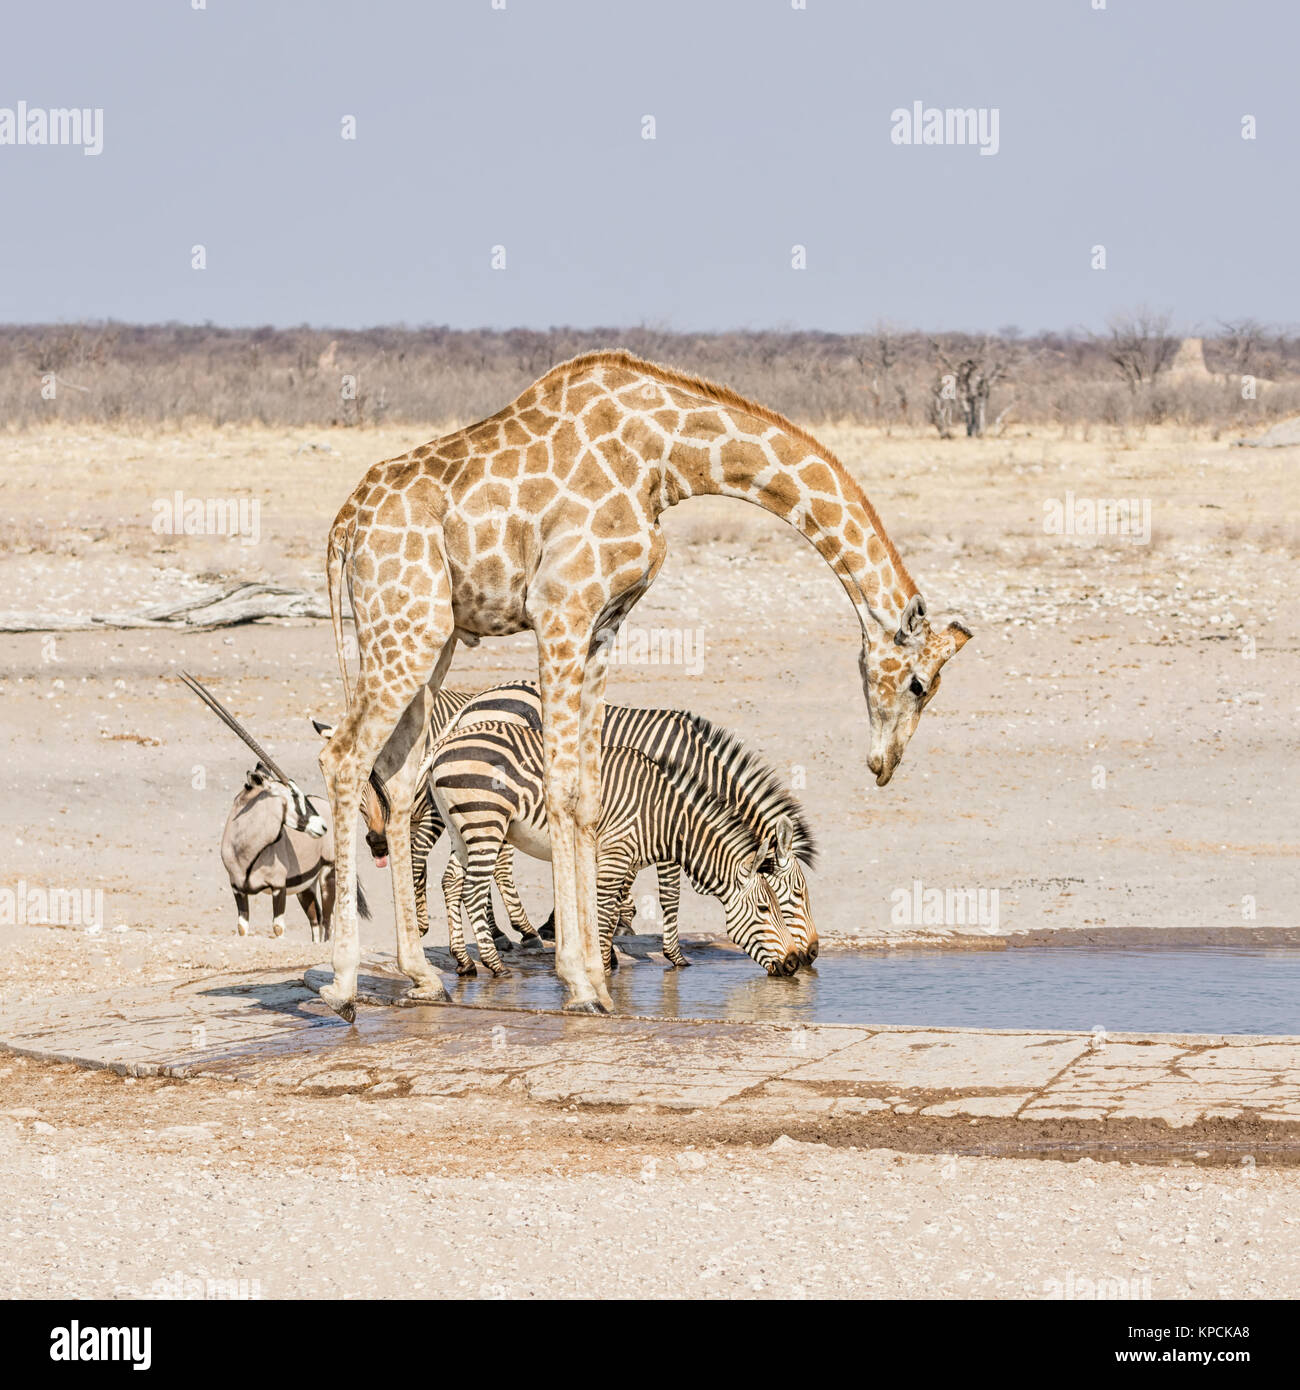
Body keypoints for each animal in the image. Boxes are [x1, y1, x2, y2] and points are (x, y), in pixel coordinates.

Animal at [427, 721, 801, 979]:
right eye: (766, 909)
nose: (795, 962)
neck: (663, 815)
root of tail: (444, 745)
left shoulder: (619, 858)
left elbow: (611, 907)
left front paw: (608, 960)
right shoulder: (617, 853)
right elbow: (607, 911)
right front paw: (603, 968)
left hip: (461, 830)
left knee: (451, 883)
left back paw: (464, 962)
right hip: (485, 823)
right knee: (472, 891)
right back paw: (495, 965)